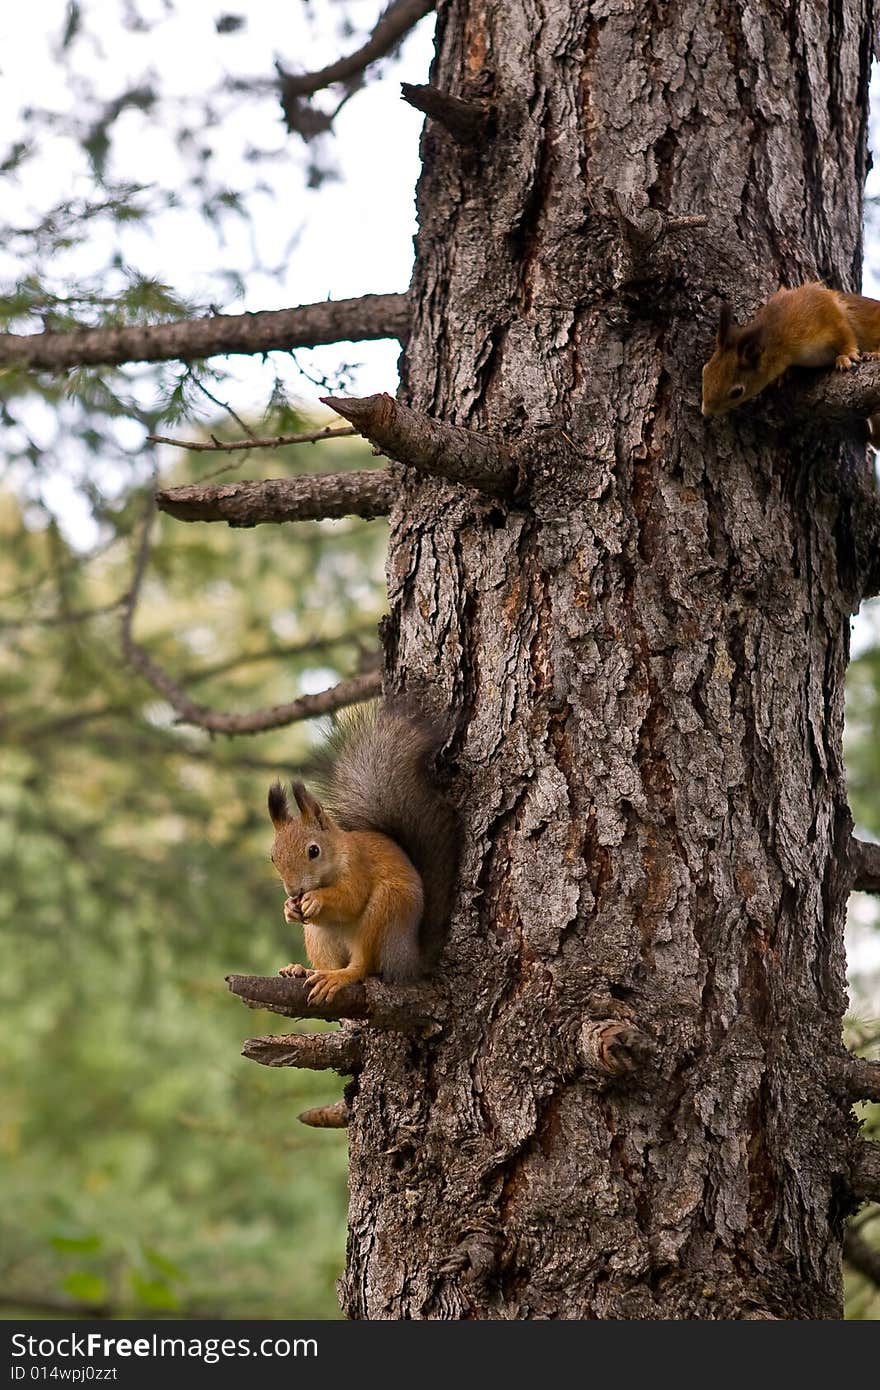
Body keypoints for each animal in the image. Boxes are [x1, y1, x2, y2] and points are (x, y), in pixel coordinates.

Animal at [265, 700, 458, 1006]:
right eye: (273, 857)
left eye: (313, 851)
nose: (294, 892)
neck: (338, 855)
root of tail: (407, 961)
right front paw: (289, 908)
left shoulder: (359, 866)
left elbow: (352, 898)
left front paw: (316, 899)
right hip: (318, 935)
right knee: (328, 962)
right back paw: (303, 970)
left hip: (385, 912)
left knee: (363, 966)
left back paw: (339, 976)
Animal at [700, 276, 878, 439]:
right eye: (704, 370)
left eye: (737, 392)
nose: (706, 413)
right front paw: (784, 374)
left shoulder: (825, 309)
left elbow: (845, 333)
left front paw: (847, 355)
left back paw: (874, 354)